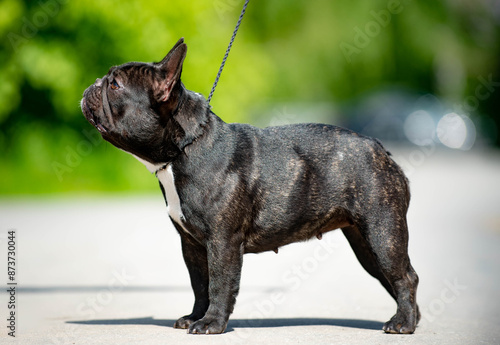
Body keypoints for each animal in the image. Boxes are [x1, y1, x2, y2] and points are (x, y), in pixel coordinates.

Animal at [81, 37, 418, 334]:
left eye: (115, 85)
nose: (94, 83)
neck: (185, 149)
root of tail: (381, 150)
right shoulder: (192, 245)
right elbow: (200, 285)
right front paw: (194, 317)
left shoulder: (222, 241)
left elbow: (219, 283)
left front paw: (211, 324)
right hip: (366, 244)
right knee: (395, 278)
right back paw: (410, 318)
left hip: (382, 233)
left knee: (404, 277)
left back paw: (402, 324)